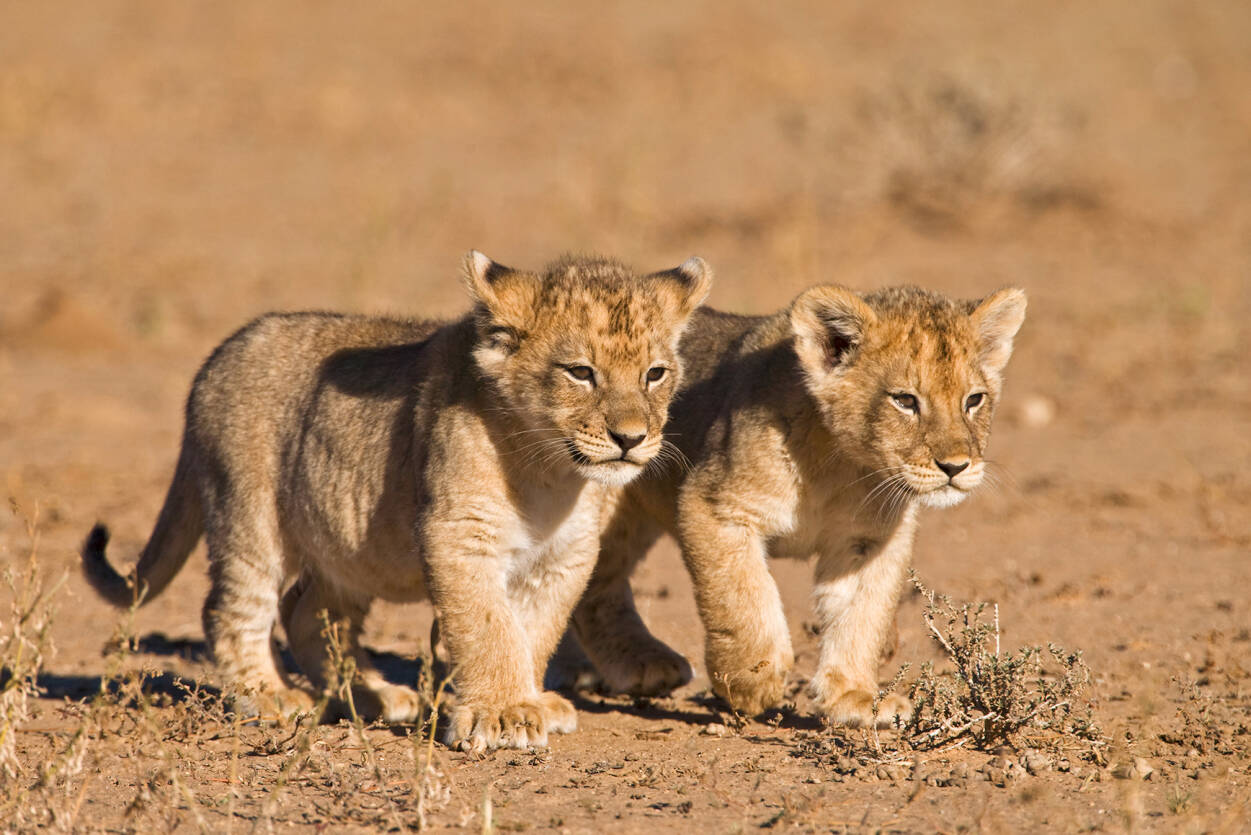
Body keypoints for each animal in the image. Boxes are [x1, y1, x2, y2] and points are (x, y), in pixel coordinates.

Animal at [82, 252, 712, 751]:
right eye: (580, 372)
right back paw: (268, 697)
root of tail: (216, 358)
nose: (631, 439)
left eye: (656, 373)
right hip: (249, 517)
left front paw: (530, 701)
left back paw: (374, 696)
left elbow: (534, 629)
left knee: (307, 613)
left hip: (346, 549)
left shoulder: (564, 556)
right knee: (231, 609)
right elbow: (488, 627)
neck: (550, 472)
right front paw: (503, 714)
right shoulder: (459, 535)